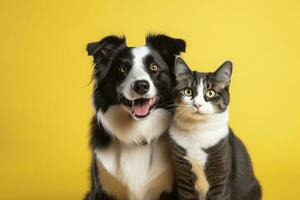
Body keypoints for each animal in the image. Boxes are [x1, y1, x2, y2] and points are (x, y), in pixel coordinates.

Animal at [169, 56, 262, 200]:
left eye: (211, 93)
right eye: (188, 91)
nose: (197, 104)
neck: (198, 130)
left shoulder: (221, 168)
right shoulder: (183, 174)